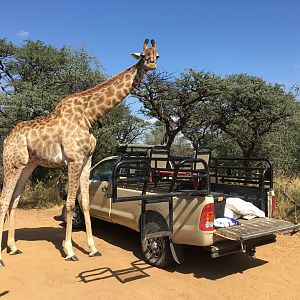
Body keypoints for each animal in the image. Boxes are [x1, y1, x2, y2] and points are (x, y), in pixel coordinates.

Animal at [0, 38, 159, 266]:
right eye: (144, 55)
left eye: (157, 55)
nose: (152, 64)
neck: (89, 116)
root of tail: (7, 138)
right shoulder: (73, 160)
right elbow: (68, 203)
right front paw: (69, 250)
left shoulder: (87, 160)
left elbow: (84, 202)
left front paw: (92, 248)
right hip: (12, 163)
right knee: (4, 199)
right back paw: (2, 258)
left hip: (27, 165)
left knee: (14, 199)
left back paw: (13, 247)